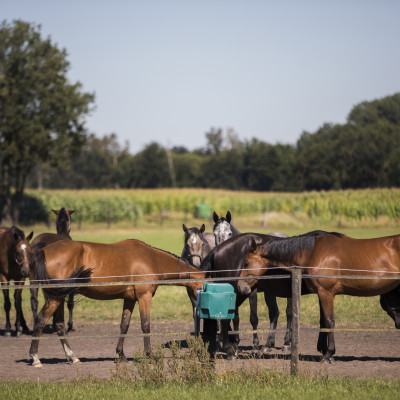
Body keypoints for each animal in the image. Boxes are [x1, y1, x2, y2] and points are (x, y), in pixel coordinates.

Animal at [28, 238, 206, 368]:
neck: (151, 259)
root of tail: (43, 251)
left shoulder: (130, 299)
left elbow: (124, 326)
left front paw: (120, 355)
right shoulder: (144, 297)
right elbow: (145, 325)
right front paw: (149, 356)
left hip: (58, 297)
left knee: (58, 324)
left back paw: (72, 357)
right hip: (55, 298)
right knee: (41, 320)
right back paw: (36, 358)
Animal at [238, 228, 400, 362]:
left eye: (246, 263)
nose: (240, 287)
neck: (313, 252)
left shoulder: (326, 293)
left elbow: (329, 321)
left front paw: (328, 354)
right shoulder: (322, 294)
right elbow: (324, 322)